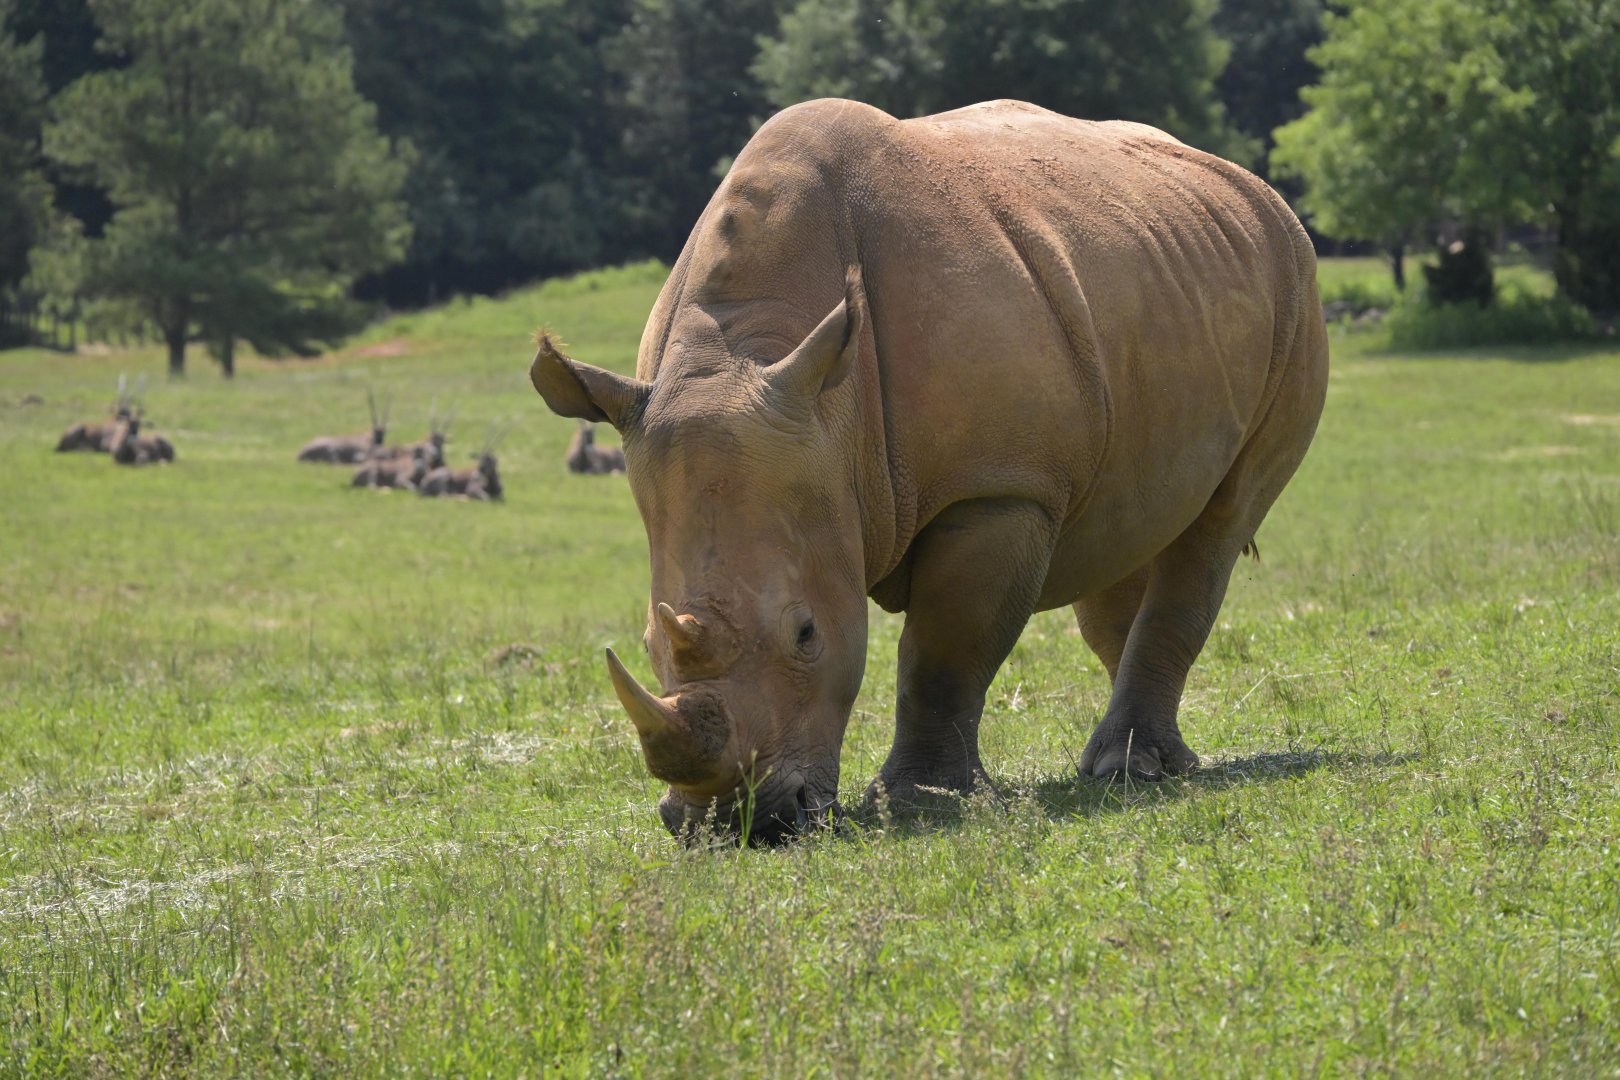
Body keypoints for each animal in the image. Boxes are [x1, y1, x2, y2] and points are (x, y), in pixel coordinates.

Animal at [529, 99, 1329, 844]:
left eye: (806, 634)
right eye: (646, 645)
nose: (734, 826)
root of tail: (1249, 183)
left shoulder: (998, 489)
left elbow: (943, 651)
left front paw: (922, 802)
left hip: (1297, 285)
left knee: (1220, 522)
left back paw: (1133, 768)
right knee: (1121, 534)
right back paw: (1132, 764)